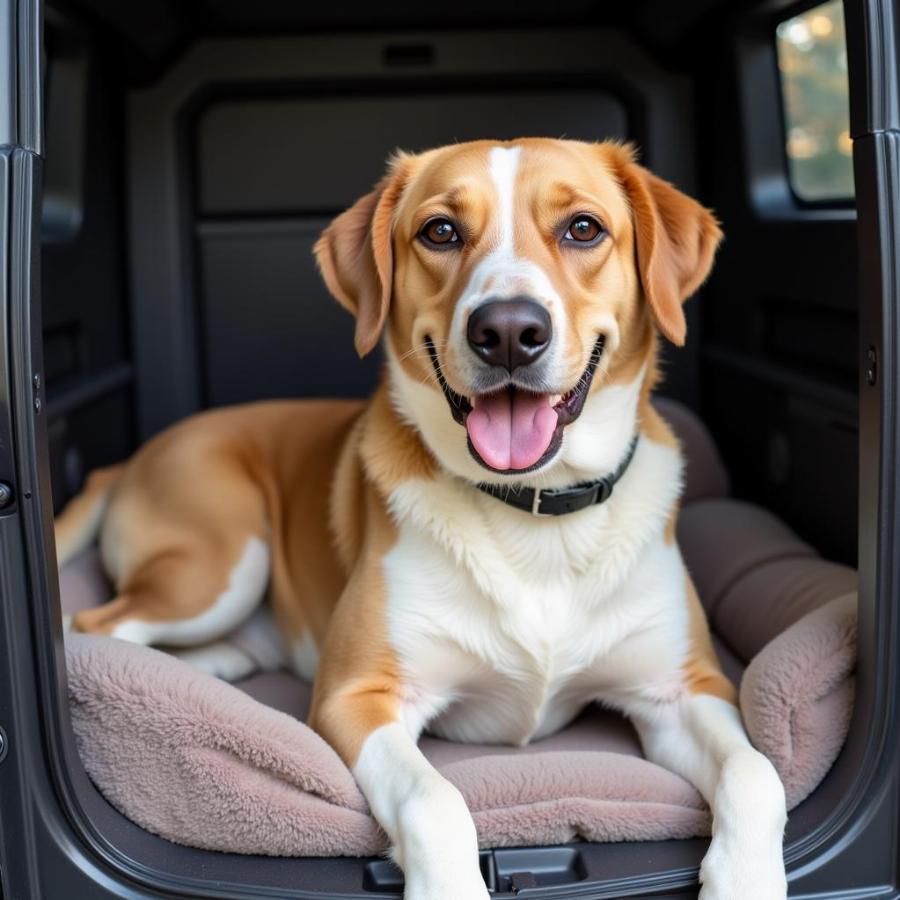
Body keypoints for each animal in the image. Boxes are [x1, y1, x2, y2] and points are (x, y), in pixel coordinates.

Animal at [56, 139, 788, 900]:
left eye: (583, 228)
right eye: (441, 232)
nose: (508, 331)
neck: (535, 513)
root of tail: (130, 460)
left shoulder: (684, 691)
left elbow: (758, 773)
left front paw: (746, 880)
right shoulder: (359, 698)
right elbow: (436, 801)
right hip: (218, 566)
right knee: (95, 627)